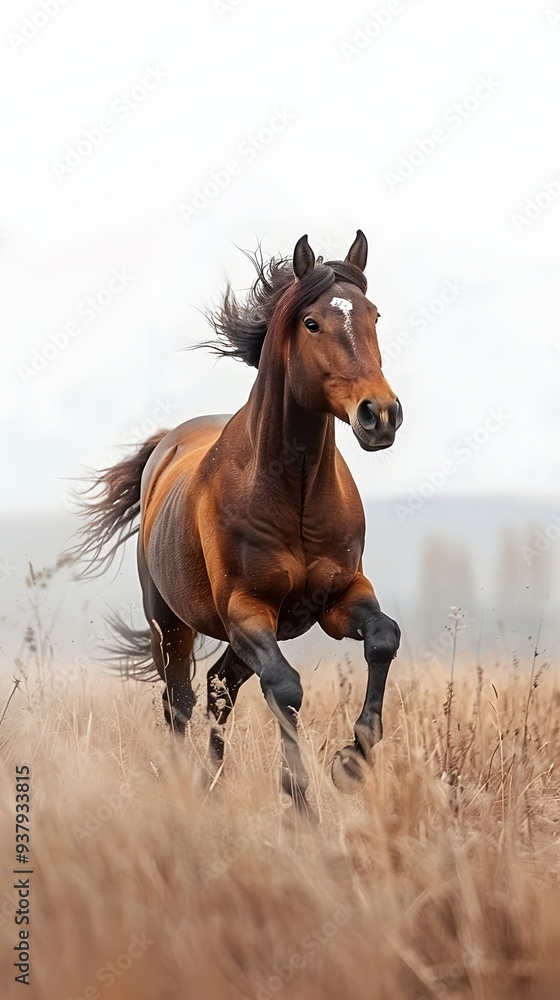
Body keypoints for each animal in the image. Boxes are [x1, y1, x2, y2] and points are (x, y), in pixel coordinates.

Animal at [74, 230, 402, 817]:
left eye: (374, 315)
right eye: (311, 323)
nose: (380, 415)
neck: (293, 493)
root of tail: (165, 446)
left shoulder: (341, 597)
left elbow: (383, 638)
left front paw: (351, 762)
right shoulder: (248, 609)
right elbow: (286, 688)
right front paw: (301, 800)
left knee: (218, 686)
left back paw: (209, 784)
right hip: (170, 624)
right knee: (180, 700)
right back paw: (186, 787)